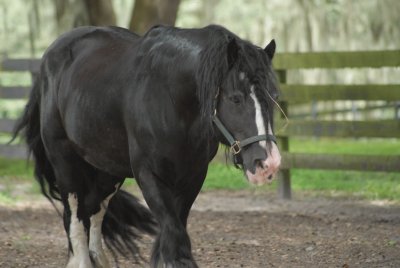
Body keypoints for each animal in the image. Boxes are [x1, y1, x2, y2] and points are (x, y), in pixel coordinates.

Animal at [12, 24, 282, 266]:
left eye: (274, 98)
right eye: (235, 98)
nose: (268, 163)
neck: (170, 99)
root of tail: (49, 59)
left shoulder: (193, 177)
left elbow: (172, 232)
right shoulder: (149, 176)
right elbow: (174, 237)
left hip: (108, 171)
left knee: (93, 211)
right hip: (65, 162)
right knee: (75, 217)